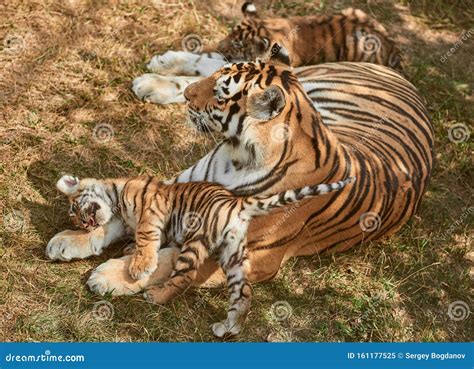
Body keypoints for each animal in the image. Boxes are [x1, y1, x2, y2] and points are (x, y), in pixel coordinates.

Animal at [47, 44, 434, 294]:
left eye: (221, 93)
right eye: (219, 82)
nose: (188, 96)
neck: (238, 158)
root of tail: (402, 77)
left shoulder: (248, 255)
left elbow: (168, 259)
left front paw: (110, 277)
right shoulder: (169, 189)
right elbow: (121, 219)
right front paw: (70, 240)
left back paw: (156, 78)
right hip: (305, 77)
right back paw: (163, 67)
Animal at [54, 174, 352, 334]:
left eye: (74, 209)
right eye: (76, 219)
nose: (84, 223)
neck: (116, 196)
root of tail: (239, 205)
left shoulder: (151, 211)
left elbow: (146, 238)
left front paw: (138, 266)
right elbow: (116, 233)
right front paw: (74, 240)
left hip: (196, 239)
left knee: (184, 277)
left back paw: (155, 295)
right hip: (233, 257)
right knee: (244, 293)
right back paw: (229, 327)